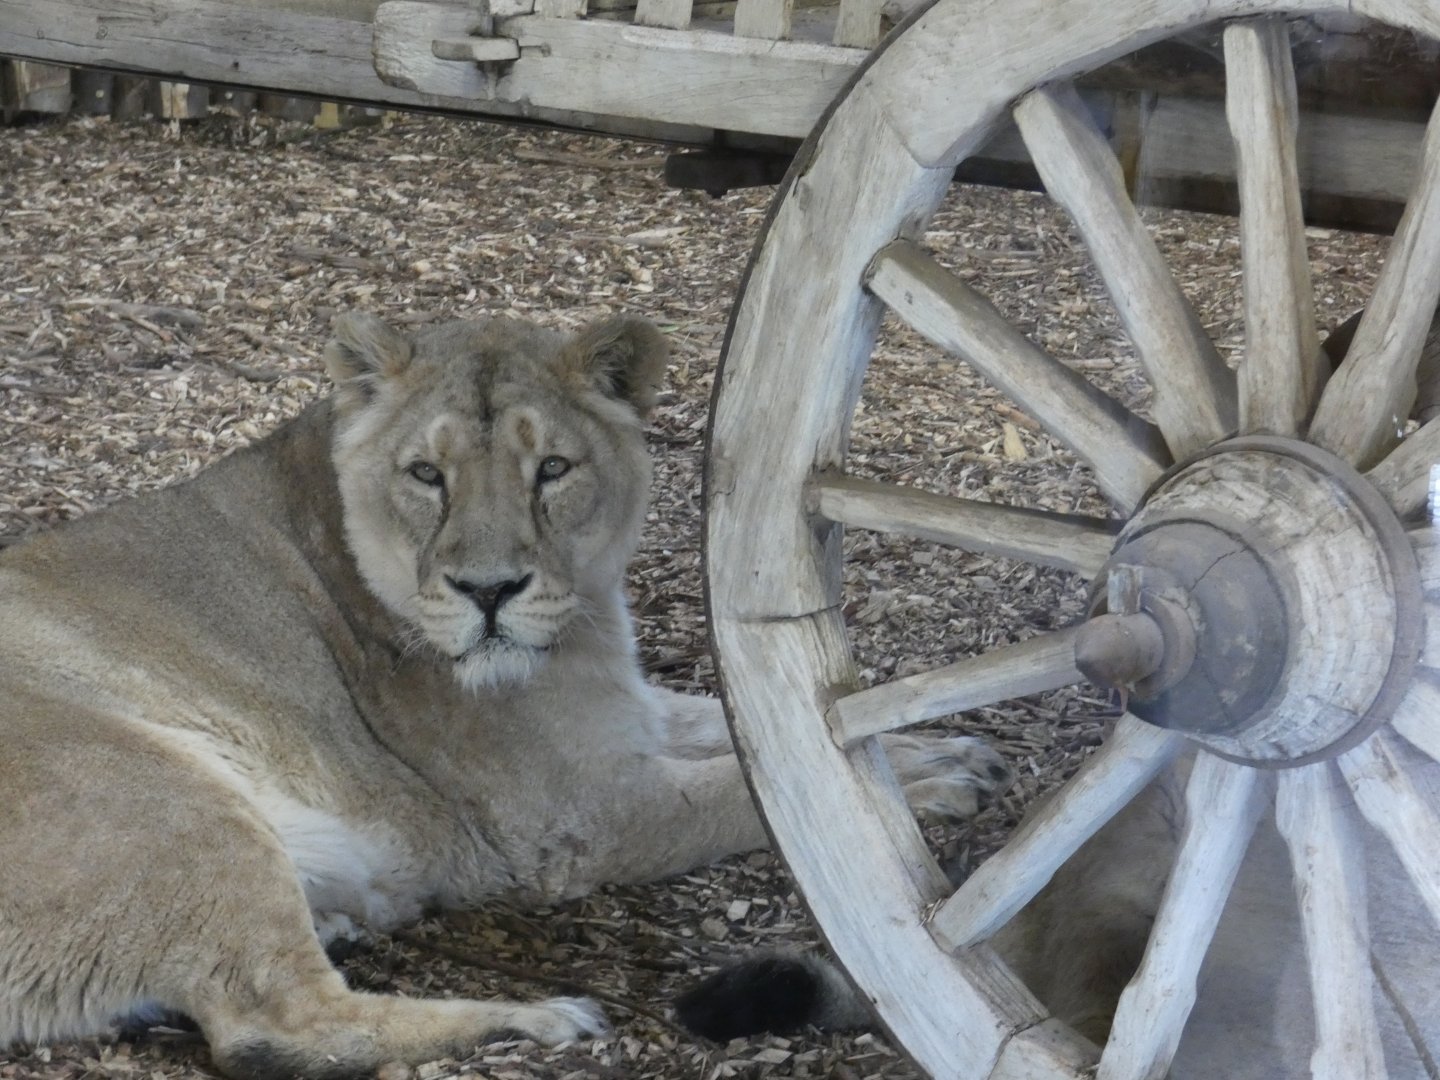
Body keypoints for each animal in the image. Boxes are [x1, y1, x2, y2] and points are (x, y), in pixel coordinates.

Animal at [0, 311, 1012, 1079]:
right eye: (426, 475)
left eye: (551, 469)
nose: (490, 592)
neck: (586, 625)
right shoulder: (577, 819)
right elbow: (744, 792)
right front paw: (928, 792)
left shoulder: (625, 717)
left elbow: (737, 740)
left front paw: (945, 755)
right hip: (169, 800)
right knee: (272, 1030)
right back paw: (540, 1017)